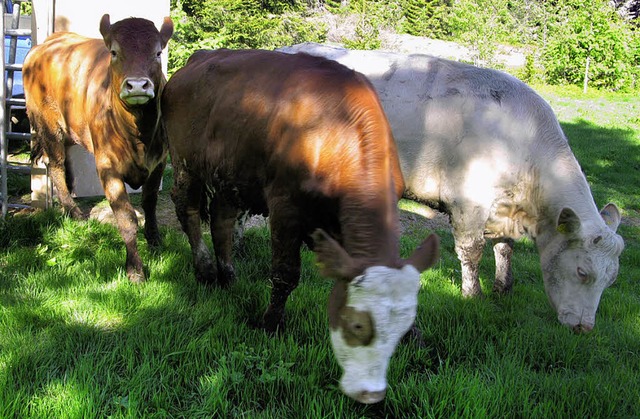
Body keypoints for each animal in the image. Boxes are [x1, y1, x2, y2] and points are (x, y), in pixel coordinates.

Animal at [160, 48, 440, 404]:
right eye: (359, 326)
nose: (371, 393)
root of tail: (197, 59)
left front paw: (417, 339)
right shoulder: (285, 206)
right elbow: (285, 273)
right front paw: (271, 324)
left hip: (230, 172)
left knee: (222, 218)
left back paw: (229, 275)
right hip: (185, 162)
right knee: (188, 209)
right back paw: (206, 269)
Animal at [278, 41, 624, 332]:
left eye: (611, 281)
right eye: (582, 272)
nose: (584, 328)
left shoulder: (504, 207)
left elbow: (505, 249)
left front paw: (503, 288)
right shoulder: (468, 201)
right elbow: (472, 251)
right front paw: (473, 295)